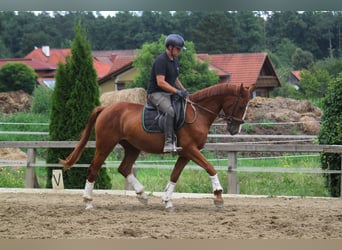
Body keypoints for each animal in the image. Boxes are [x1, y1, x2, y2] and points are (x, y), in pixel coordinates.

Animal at [59, 83, 254, 210]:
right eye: (241, 106)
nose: (235, 129)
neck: (198, 113)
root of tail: (106, 108)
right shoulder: (191, 149)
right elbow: (210, 167)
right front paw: (219, 196)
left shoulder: (186, 153)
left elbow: (175, 174)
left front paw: (167, 200)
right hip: (105, 144)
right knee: (94, 168)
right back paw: (88, 201)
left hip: (132, 147)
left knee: (124, 168)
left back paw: (142, 195)